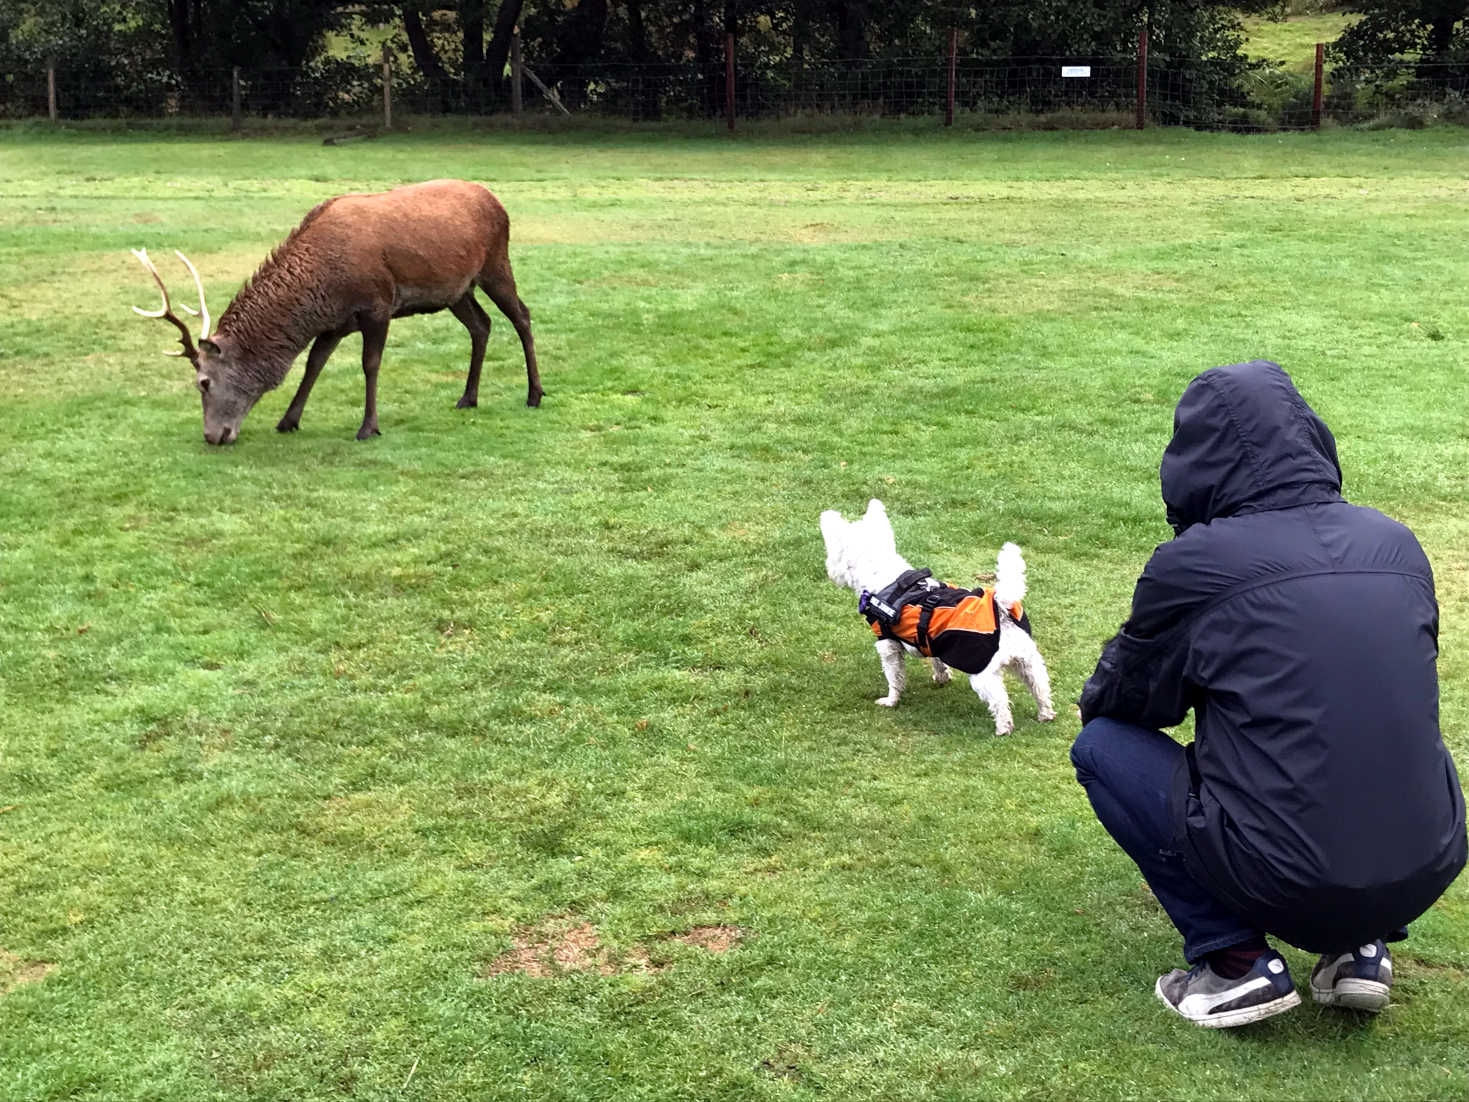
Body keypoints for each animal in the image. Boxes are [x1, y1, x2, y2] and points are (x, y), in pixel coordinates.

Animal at [828, 505, 1057, 737]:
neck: (885, 577)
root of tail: (1000, 606)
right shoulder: (932, 639)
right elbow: (937, 661)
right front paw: (942, 678)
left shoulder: (887, 645)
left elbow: (894, 677)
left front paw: (891, 701)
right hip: (1028, 661)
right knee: (1041, 688)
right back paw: (1045, 715)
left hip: (982, 671)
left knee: (1000, 701)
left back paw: (1003, 728)